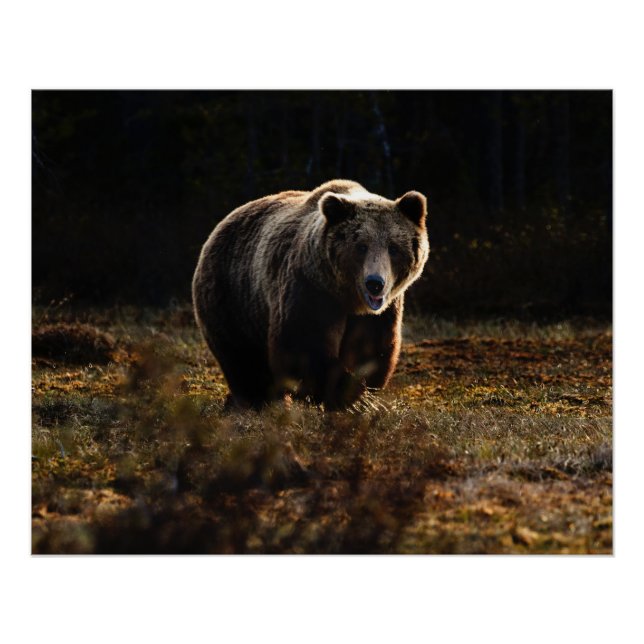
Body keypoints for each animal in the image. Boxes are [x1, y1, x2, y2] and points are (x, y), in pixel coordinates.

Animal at [192, 179, 430, 410]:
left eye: (393, 247)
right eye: (361, 246)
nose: (375, 284)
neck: (347, 298)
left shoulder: (380, 312)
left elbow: (371, 349)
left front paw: (361, 394)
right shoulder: (310, 289)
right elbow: (302, 344)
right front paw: (350, 396)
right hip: (232, 297)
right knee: (243, 358)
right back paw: (257, 400)